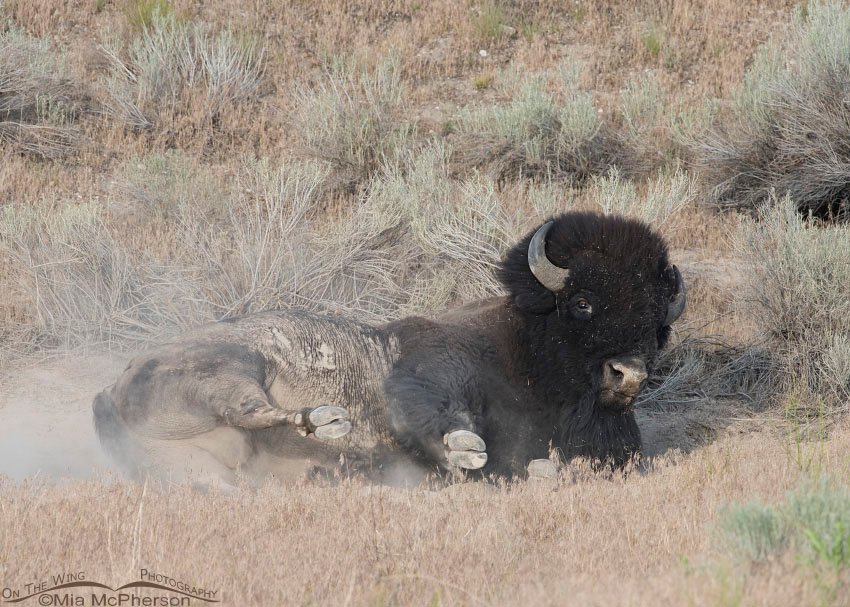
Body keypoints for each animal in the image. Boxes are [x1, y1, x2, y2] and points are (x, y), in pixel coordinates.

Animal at [93, 212, 685, 487]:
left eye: (658, 322)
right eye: (583, 303)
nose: (627, 375)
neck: (527, 344)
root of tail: (108, 394)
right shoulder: (434, 370)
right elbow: (436, 416)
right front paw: (463, 450)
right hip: (233, 367)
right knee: (251, 406)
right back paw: (328, 423)